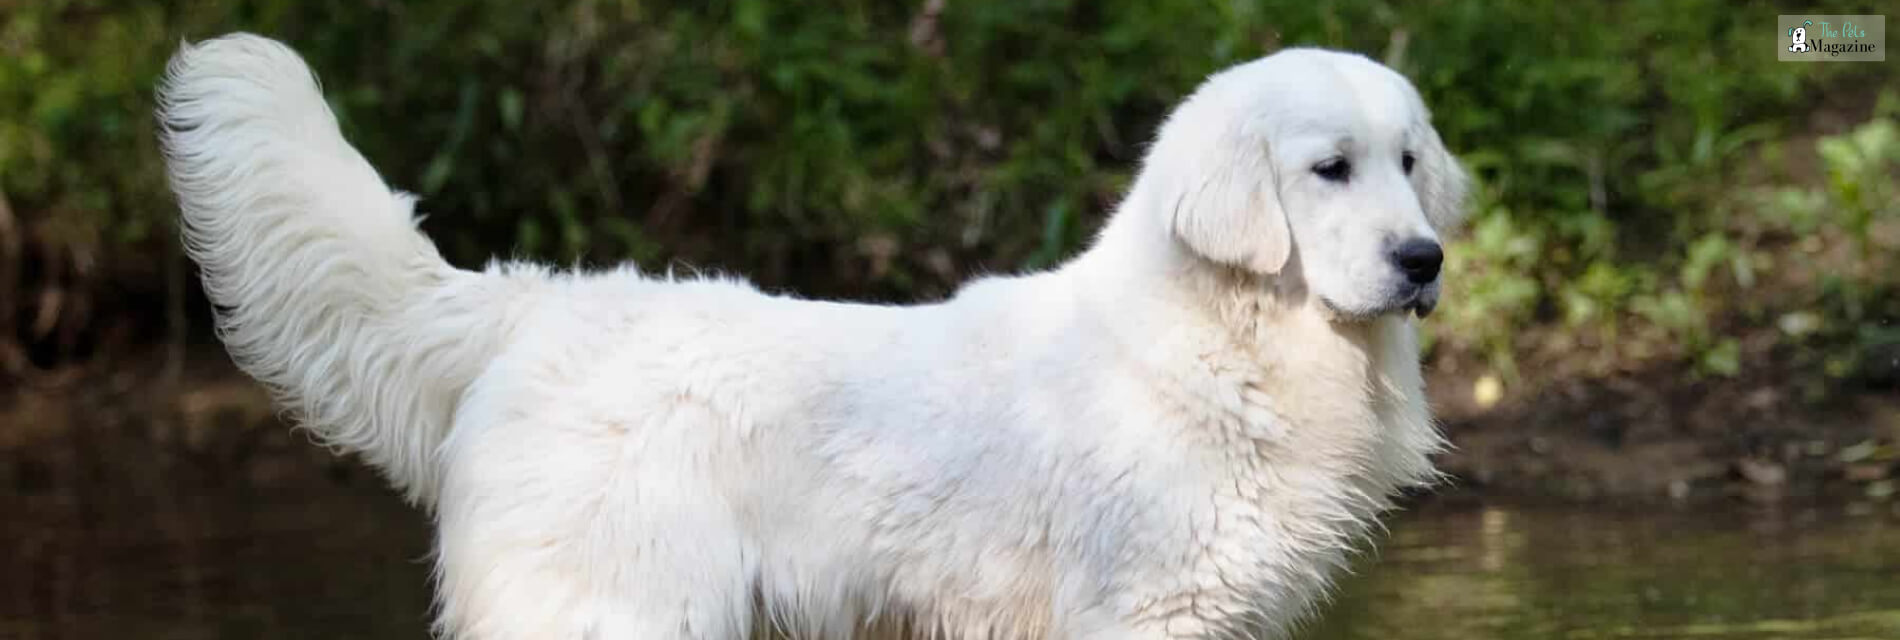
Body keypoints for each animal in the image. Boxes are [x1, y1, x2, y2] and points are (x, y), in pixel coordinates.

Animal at [159, 34, 1466, 638]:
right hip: (617, 608)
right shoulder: (1145, 610)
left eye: (1409, 162)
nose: (1424, 260)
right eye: (1329, 169)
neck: (1232, 342)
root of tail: (534, 305)